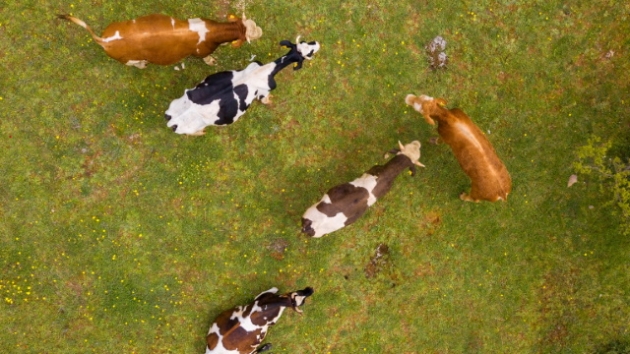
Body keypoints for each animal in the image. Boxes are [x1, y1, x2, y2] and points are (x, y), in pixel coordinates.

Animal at [55, 13, 260, 68]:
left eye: (254, 23)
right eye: (250, 37)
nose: (262, 31)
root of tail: (104, 39)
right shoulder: (201, 52)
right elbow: (207, 58)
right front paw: (212, 61)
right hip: (128, 59)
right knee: (133, 64)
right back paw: (142, 64)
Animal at [165, 36, 320, 135]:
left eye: (305, 42)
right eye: (310, 53)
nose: (317, 43)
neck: (264, 70)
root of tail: (172, 121)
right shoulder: (265, 91)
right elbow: (266, 100)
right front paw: (271, 102)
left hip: (175, 103)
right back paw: (201, 132)